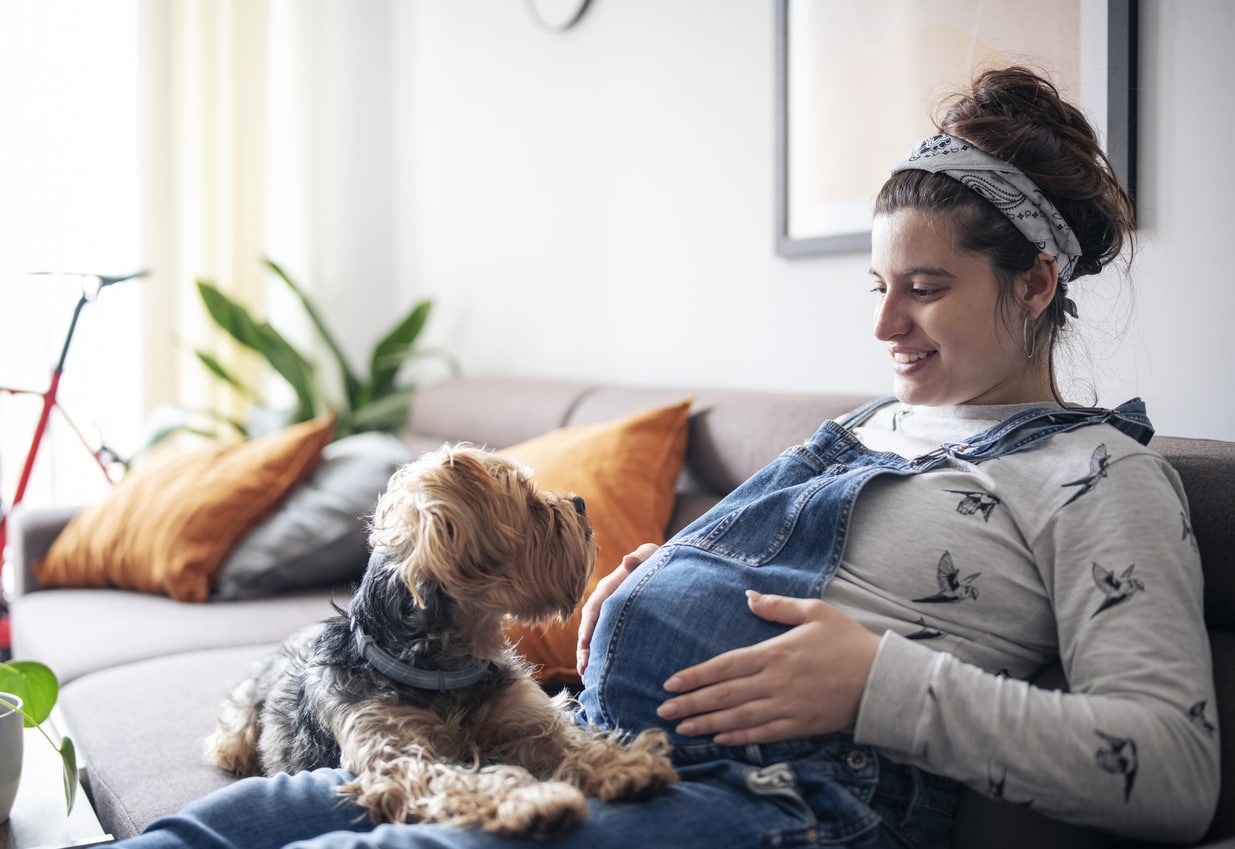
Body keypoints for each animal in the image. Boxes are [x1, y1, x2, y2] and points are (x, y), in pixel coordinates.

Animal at [207, 444, 681, 835]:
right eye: (529, 503)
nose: (580, 502)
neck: (445, 666)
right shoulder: (396, 754)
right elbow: (464, 777)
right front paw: (533, 800)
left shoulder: (527, 717)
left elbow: (571, 739)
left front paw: (625, 764)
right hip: (239, 729)